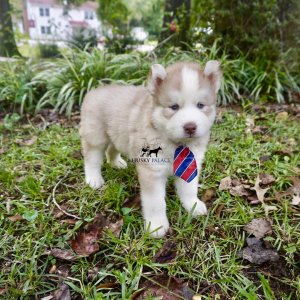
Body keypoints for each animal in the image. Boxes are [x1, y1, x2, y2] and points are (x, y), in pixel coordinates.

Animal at [81, 60, 221, 237]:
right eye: (174, 107)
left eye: (201, 105)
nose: (190, 127)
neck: (177, 144)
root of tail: (96, 89)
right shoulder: (152, 172)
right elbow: (156, 203)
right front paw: (156, 225)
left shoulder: (191, 163)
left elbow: (188, 188)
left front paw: (192, 205)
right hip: (95, 136)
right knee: (91, 158)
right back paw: (93, 179)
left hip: (116, 134)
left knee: (111, 149)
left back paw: (116, 163)